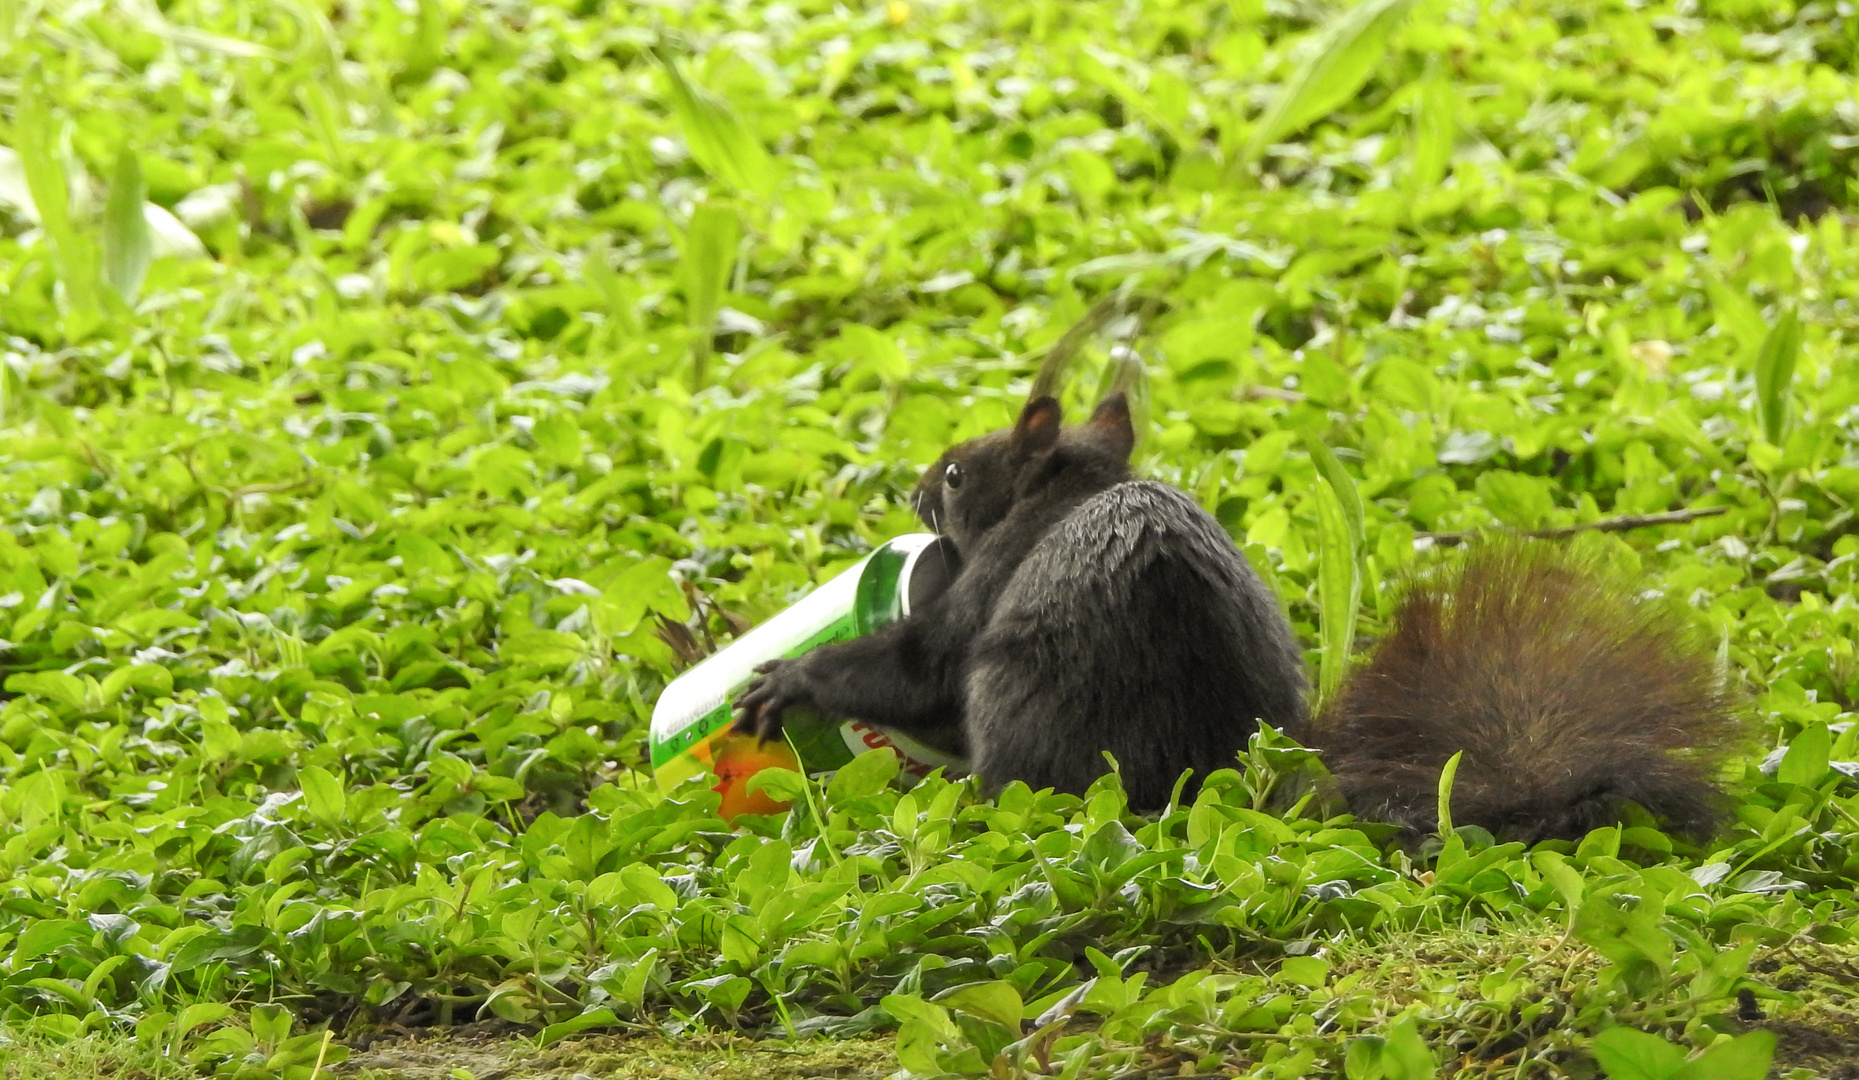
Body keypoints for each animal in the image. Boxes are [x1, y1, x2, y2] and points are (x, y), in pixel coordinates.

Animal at [732, 392, 1732, 836]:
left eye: (953, 474)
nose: (910, 492)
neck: (1067, 493)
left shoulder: (987, 585)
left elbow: (920, 671)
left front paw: (792, 680)